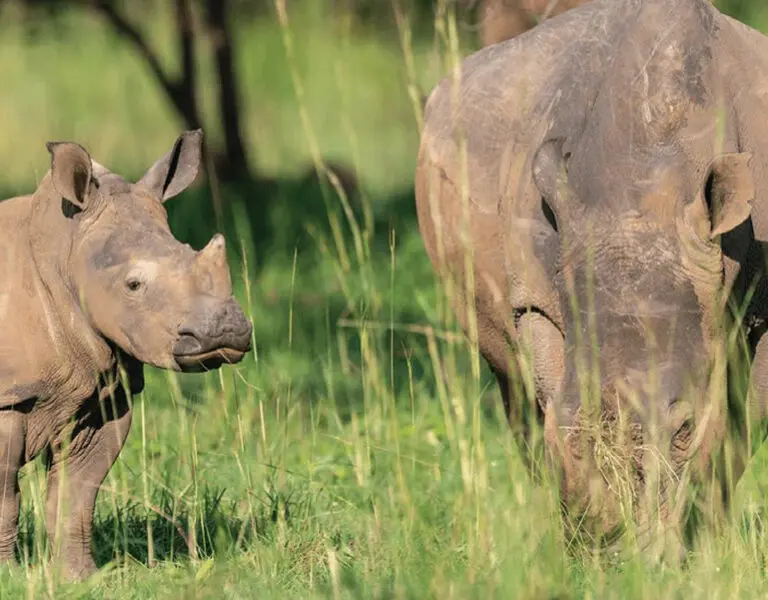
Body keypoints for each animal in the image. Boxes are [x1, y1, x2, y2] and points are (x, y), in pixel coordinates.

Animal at [0, 130, 252, 579]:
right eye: (133, 285)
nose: (225, 332)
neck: (63, 253)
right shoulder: (8, 393)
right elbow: (4, 498)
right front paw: (9, 578)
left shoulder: (100, 391)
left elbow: (77, 495)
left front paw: (79, 578)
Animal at [416, 0, 768, 561]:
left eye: (684, 429)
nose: (623, 552)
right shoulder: (537, 296)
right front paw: (588, 541)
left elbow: (740, 426)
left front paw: (700, 547)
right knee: (513, 387)